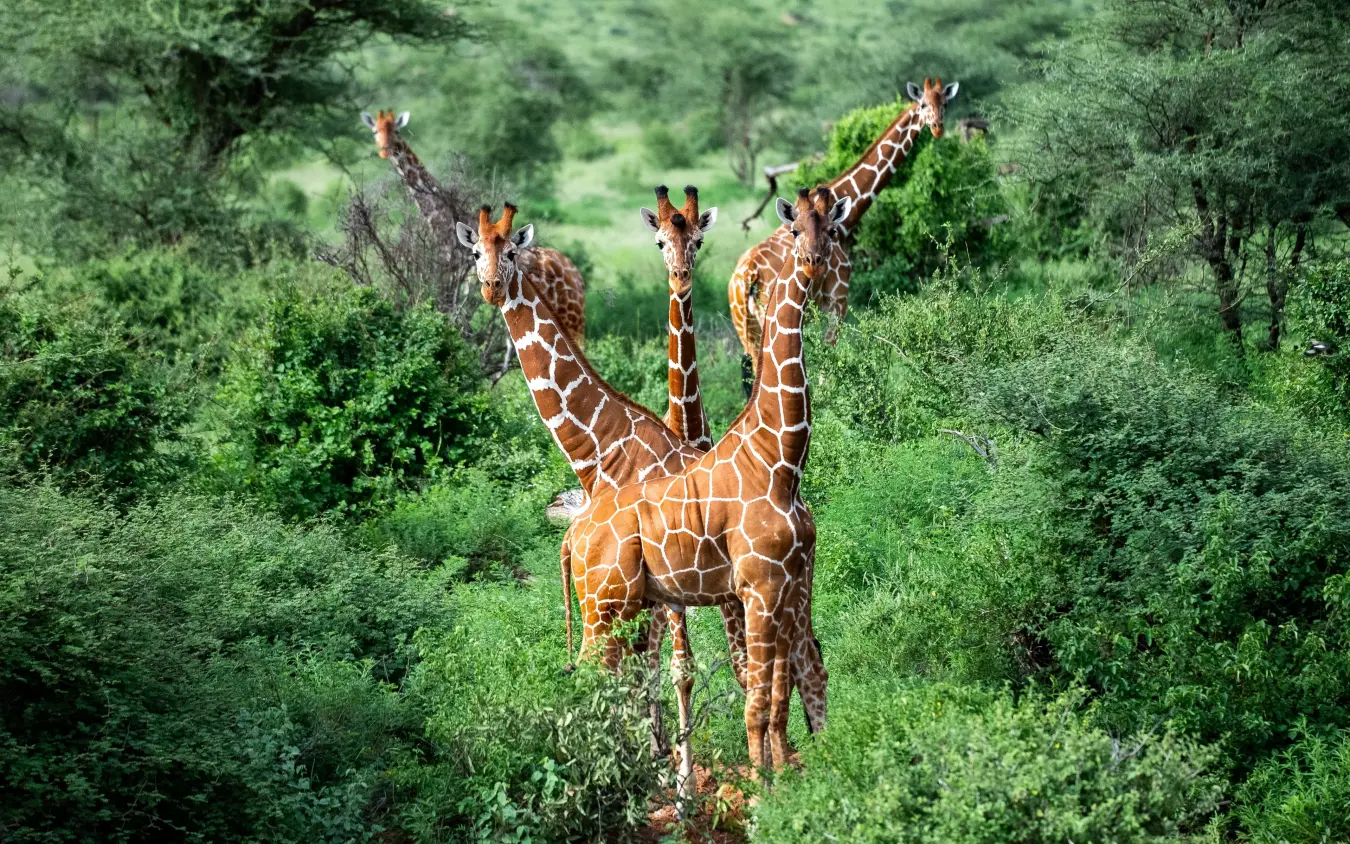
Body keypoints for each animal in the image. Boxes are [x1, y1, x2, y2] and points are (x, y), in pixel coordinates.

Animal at [362, 109, 588, 343]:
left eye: (396, 131)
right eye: (375, 131)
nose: (385, 150)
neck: (443, 222)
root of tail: (578, 278)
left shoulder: (460, 281)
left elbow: (461, 322)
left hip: (572, 316)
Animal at [568, 186, 847, 797]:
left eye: (832, 229)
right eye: (795, 230)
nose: (813, 263)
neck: (779, 459)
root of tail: (572, 535)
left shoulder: (788, 583)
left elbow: (782, 692)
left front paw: (787, 779)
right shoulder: (759, 587)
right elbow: (759, 701)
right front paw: (766, 793)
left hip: (626, 609)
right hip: (604, 607)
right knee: (587, 681)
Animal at [727, 78, 960, 386]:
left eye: (944, 103)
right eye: (922, 104)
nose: (937, 127)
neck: (847, 213)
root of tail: (747, 276)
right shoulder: (838, 301)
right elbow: (828, 364)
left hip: (744, 328)